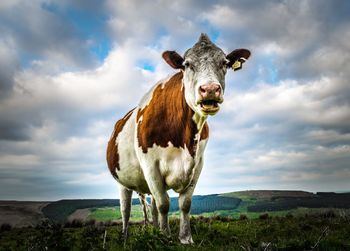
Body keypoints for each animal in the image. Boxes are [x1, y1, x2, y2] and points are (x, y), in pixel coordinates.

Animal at [106, 33, 249, 243]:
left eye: (224, 63)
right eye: (187, 64)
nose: (210, 89)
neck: (184, 139)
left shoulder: (198, 163)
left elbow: (185, 203)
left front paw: (185, 237)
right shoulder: (150, 165)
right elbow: (164, 204)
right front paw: (165, 236)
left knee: (151, 207)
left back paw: (153, 228)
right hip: (122, 181)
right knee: (126, 209)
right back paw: (125, 237)